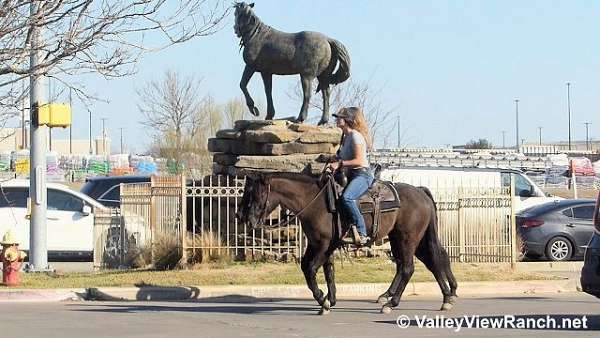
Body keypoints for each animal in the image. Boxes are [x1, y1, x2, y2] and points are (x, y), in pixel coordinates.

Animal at [237, 173, 458, 316]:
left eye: (256, 194)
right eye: (245, 193)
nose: (245, 218)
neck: (315, 203)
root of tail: (420, 193)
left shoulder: (323, 245)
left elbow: (310, 269)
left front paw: (323, 300)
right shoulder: (318, 245)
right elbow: (325, 270)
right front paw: (329, 299)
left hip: (408, 239)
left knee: (409, 268)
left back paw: (392, 303)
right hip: (405, 239)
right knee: (430, 262)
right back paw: (444, 298)